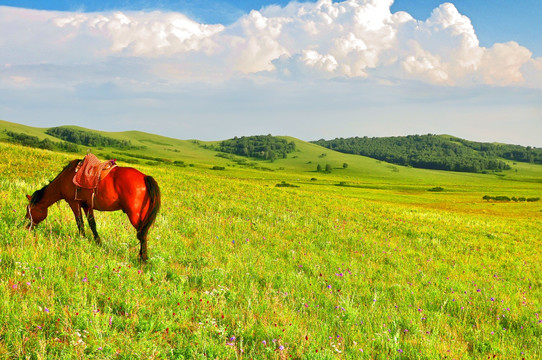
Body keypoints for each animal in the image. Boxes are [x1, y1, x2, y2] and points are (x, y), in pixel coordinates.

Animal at [25, 158, 162, 262]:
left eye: (29, 210)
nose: (26, 227)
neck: (65, 178)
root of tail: (145, 177)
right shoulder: (87, 206)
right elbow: (92, 224)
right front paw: (98, 243)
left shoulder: (74, 203)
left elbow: (80, 223)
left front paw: (82, 240)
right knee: (143, 233)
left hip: (134, 215)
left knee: (142, 234)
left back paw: (143, 260)